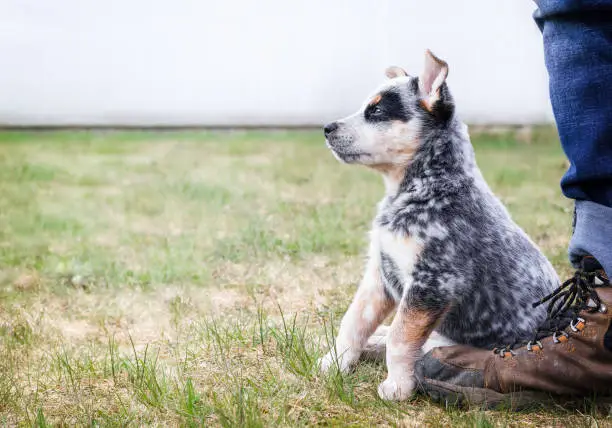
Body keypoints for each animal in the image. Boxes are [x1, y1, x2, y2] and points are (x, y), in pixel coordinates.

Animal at [320, 50, 560, 402]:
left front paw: (398, 386)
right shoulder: (379, 273)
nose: (327, 127)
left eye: (376, 110)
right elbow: (354, 322)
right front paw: (337, 361)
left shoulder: (433, 281)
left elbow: (401, 338)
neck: (426, 188)